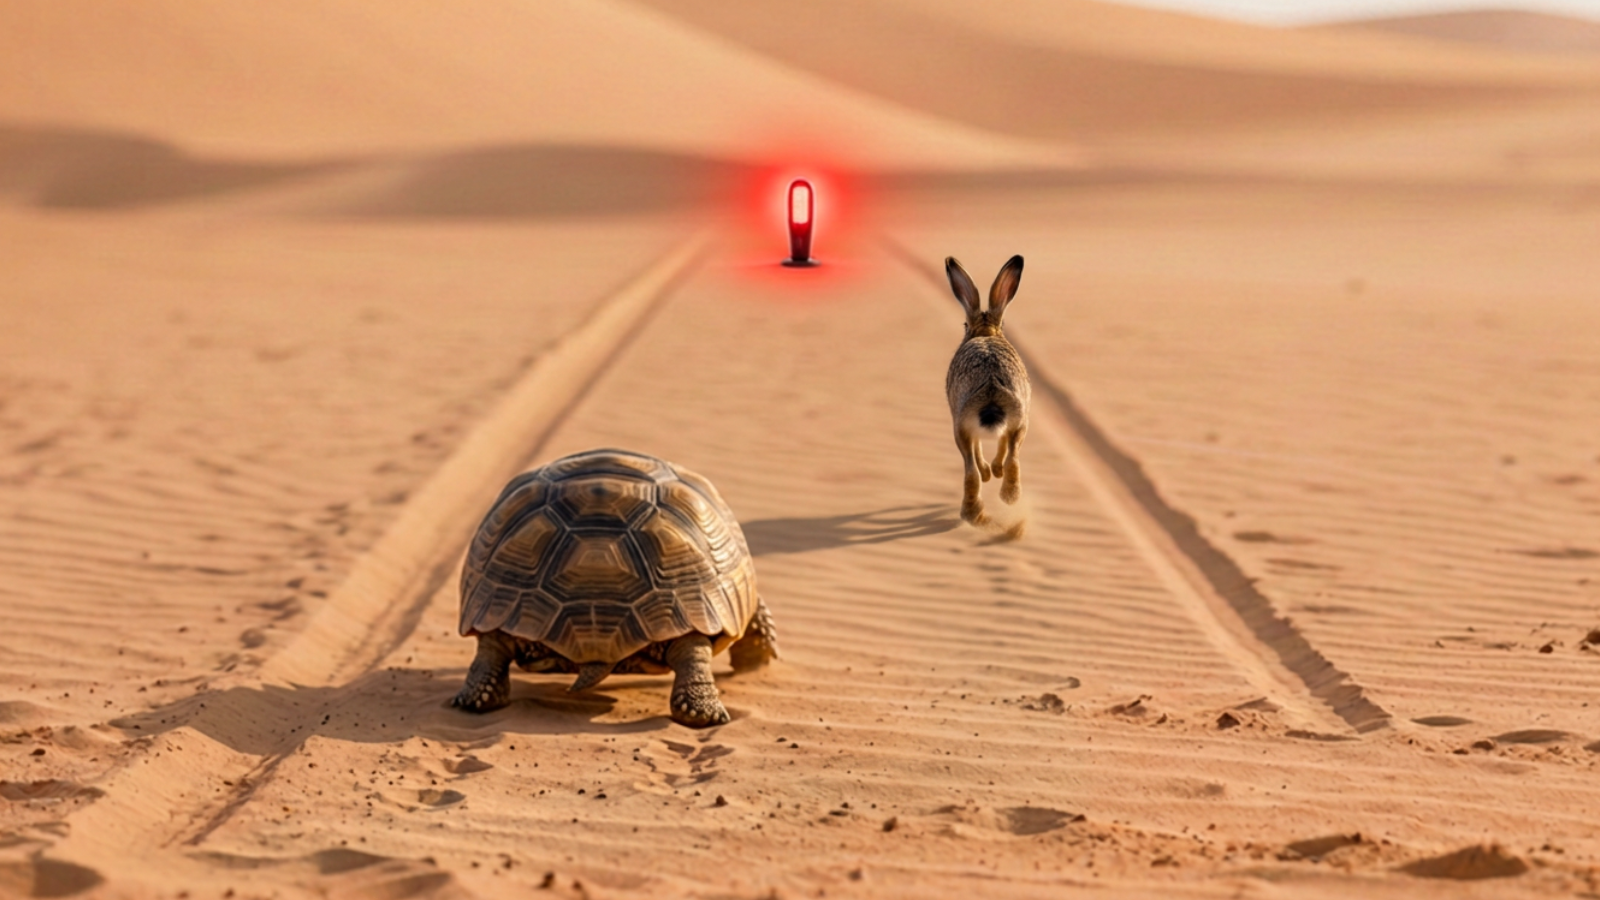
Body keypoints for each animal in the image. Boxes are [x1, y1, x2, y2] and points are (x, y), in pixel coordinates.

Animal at [944, 255, 1030, 526]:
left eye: (964, 324)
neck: (986, 332)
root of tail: (992, 389)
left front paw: (989, 472)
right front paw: (994, 471)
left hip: (960, 427)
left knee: (970, 469)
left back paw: (974, 509)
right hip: (1021, 420)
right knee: (1013, 457)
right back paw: (1008, 496)